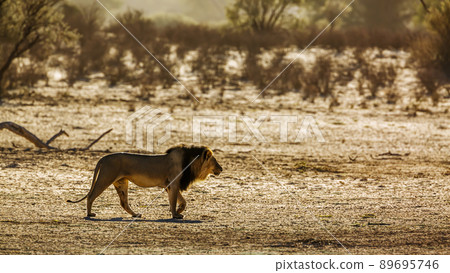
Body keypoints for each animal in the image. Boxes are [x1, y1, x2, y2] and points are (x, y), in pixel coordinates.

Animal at [67, 144, 221, 219]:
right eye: (215, 161)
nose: (222, 168)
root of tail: (103, 158)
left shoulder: (169, 185)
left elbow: (182, 201)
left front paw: (178, 211)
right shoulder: (173, 183)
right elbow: (173, 201)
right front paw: (175, 215)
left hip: (121, 182)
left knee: (124, 203)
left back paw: (136, 215)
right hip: (106, 178)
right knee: (91, 196)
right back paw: (89, 214)